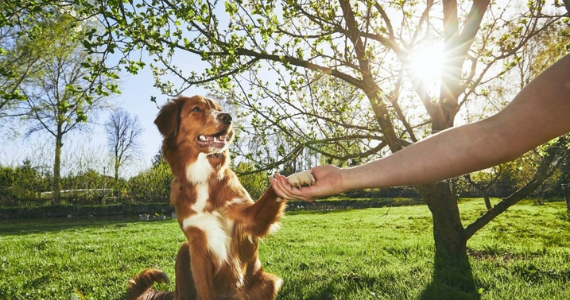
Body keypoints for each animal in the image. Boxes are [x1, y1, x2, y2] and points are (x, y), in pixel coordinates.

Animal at [126, 95, 316, 300]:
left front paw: (296, 177)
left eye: (218, 109)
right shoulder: (197, 246)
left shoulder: (249, 219)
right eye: (196, 109)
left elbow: (273, 189)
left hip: (269, 282)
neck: (203, 176)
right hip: (184, 251)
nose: (228, 117)